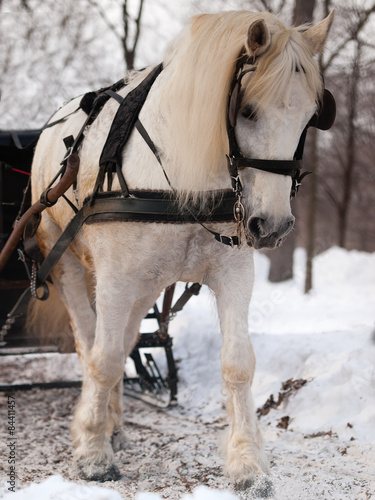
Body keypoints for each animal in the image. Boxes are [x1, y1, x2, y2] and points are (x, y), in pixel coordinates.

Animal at [30, 10, 334, 492]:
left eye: (309, 118)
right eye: (247, 110)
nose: (273, 226)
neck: (184, 178)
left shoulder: (233, 270)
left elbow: (237, 363)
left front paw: (248, 464)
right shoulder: (114, 279)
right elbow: (104, 359)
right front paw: (92, 453)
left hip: (145, 285)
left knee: (126, 340)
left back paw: (115, 426)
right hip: (69, 265)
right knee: (90, 343)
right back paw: (99, 429)